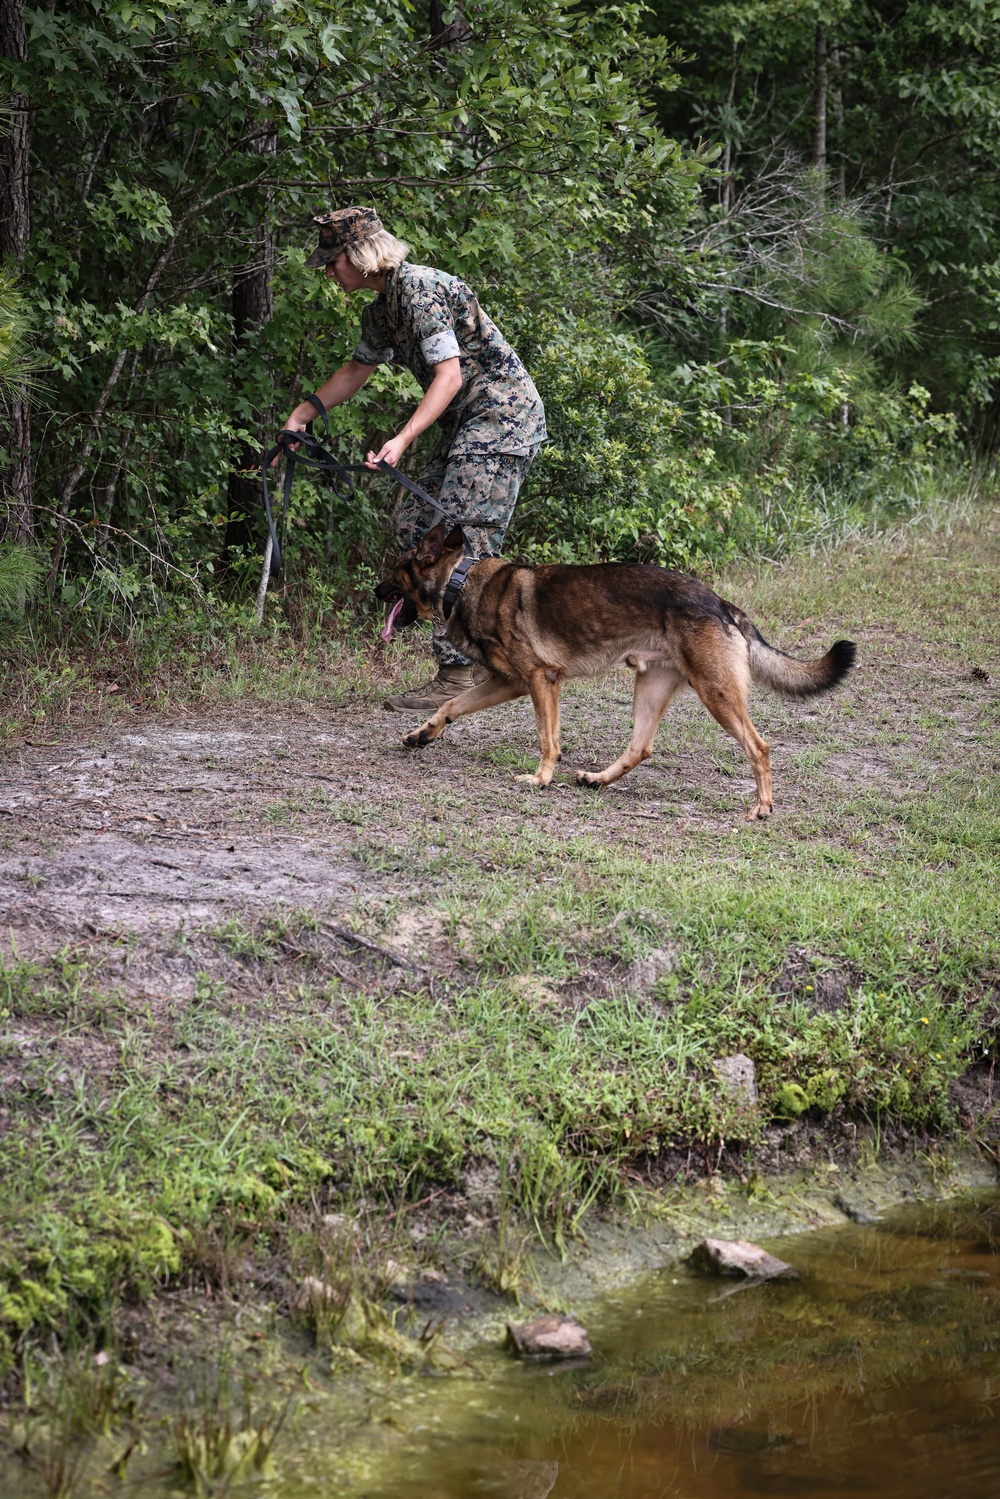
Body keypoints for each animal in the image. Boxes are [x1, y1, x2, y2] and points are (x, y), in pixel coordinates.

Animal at [379, 527, 857, 821]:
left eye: (393, 572)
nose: (373, 590)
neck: (461, 581)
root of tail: (719, 603)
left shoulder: (538, 679)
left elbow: (547, 740)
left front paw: (540, 779)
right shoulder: (510, 682)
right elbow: (452, 703)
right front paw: (423, 733)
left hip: (716, 694)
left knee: (759, 746)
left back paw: (762, 807)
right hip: (651, 688)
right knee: (641, 748)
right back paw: (596, 779)